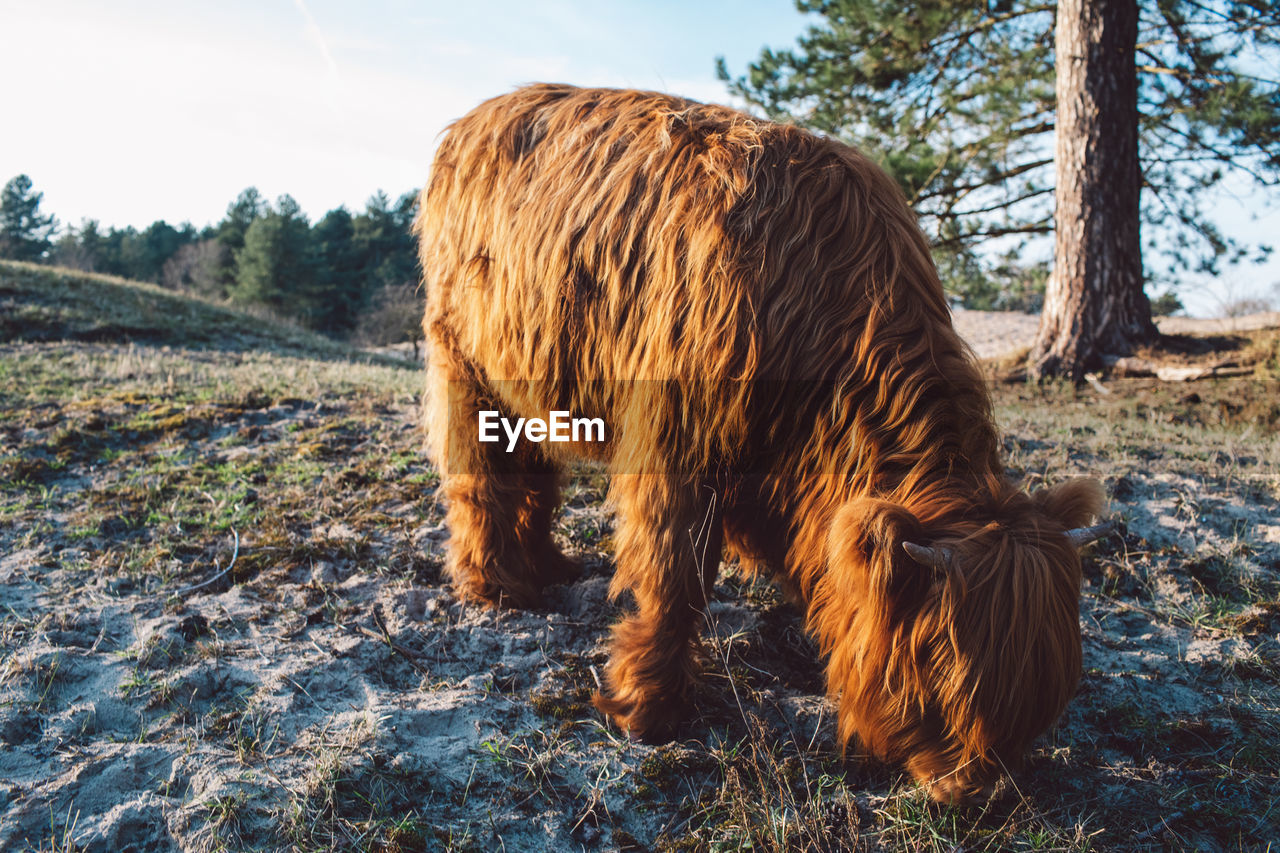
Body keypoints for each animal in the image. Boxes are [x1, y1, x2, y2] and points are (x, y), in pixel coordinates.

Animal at [414, 86, 1105, 804]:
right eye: (939, 685)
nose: (980, 794)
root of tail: (472, 119)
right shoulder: (678, 441)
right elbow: (673, 576)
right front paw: (646, 708)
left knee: (534, 468)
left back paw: (546, 565)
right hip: (463, 359)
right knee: (479, 474)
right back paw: (496, 585)